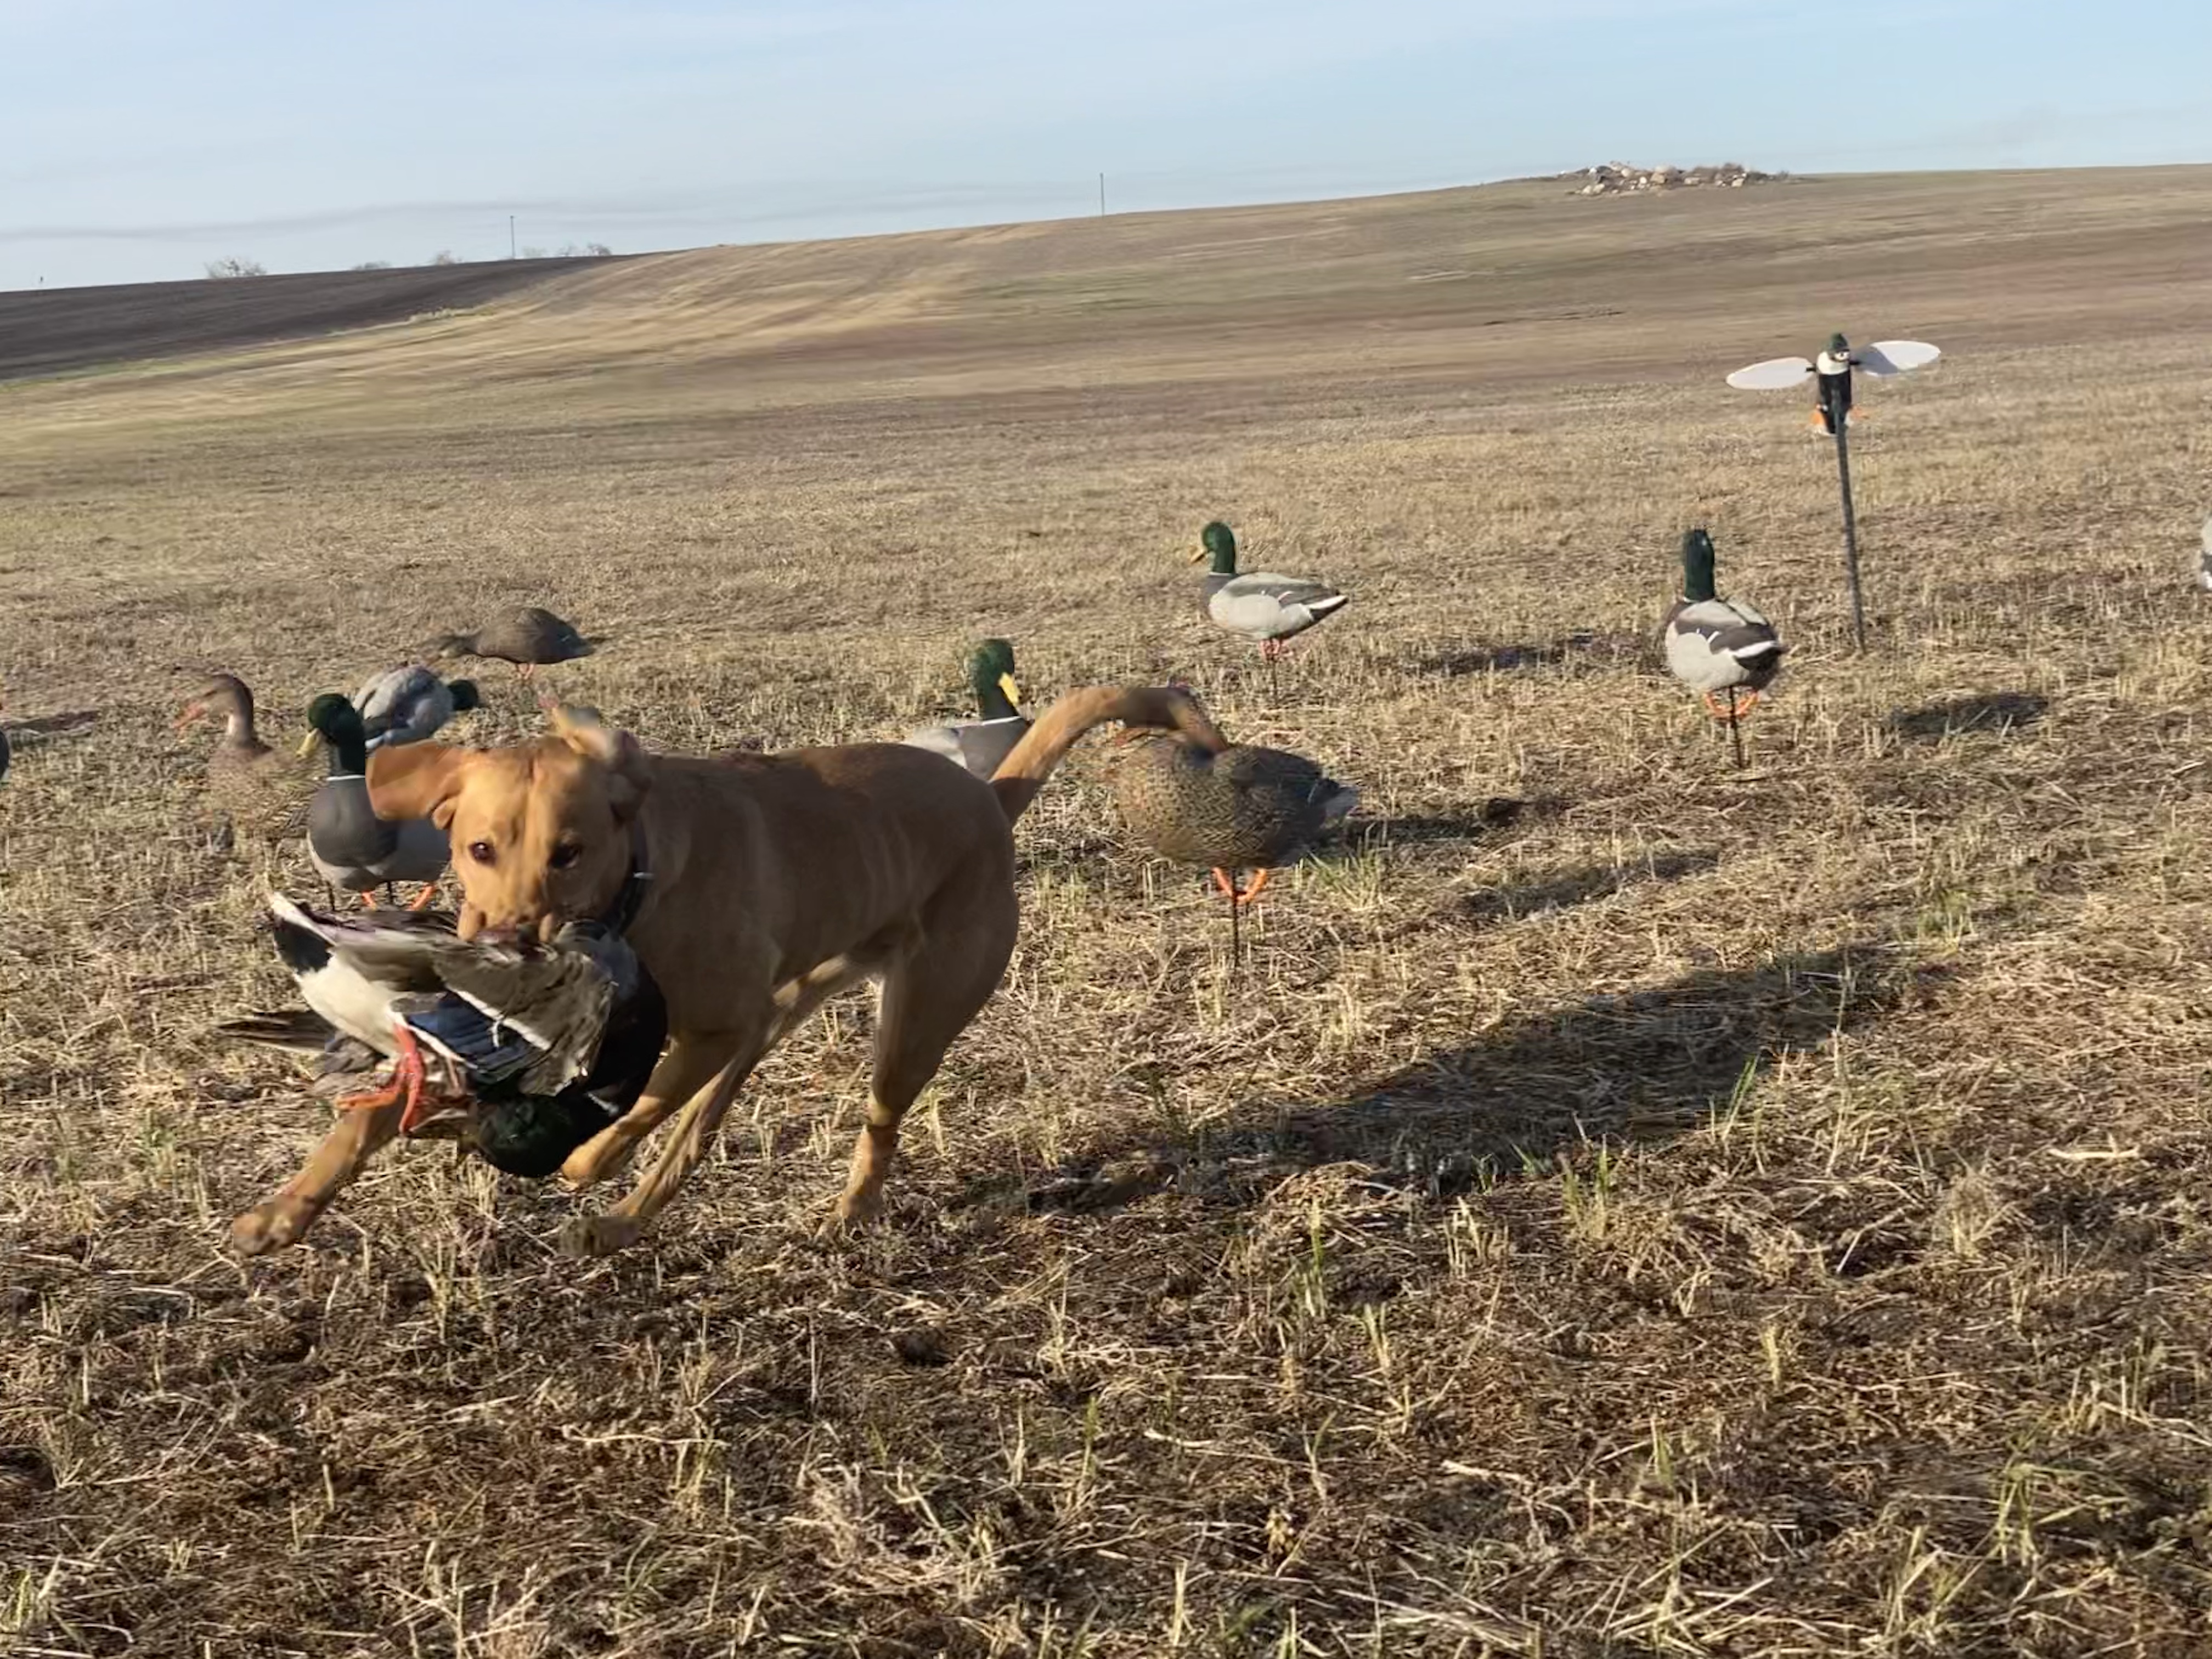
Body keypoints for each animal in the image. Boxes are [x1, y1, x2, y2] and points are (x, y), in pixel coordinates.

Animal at [229, 681, 1229, 1256]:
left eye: (569, 851)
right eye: (478, 847)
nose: (511, 943)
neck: (638, 898)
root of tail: (988, 796)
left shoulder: (712, 1023)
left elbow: (642, 1101)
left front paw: (585, 1156)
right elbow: (368, 1120)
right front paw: (283, 1210)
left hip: (910, 1019)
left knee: (832, 1123)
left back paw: (813, 1210)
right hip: (795, 996)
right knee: (699, 1122)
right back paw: (624, 1209)